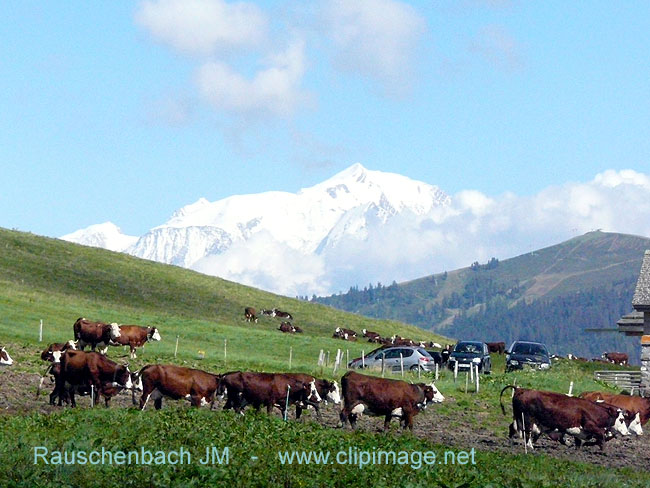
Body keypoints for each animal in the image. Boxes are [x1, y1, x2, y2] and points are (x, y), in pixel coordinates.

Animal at [496, 386, 628, 450]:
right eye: (621, 420)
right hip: (528, 419)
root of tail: (520, 389)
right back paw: (530, 447)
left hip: (518, 417)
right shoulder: (589, 426)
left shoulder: (579, 431)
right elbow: (601, 437)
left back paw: (511, 443)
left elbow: (578, 442)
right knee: (526, 433)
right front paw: (604, 451)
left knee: (513, 428)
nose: (627, 433)